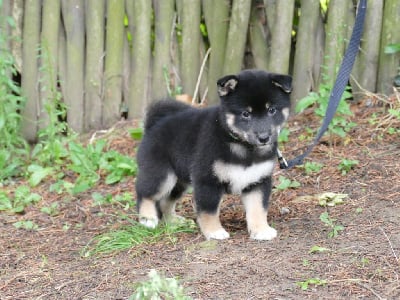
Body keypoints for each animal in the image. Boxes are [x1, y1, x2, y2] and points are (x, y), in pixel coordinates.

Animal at [134, 69, 290, 240]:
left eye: (272, 110)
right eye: (245, 114)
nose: (264, 137)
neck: (243, 147)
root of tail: (153, 125)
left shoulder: (258, 181)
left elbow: (258, 209)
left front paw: (261, 229)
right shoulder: (207, 180)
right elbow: (209, 211)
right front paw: (214, 231)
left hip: (180, 180)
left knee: (165, 201)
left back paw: (173, 221)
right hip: (162, 174)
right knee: (145, 193)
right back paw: (148, 218)